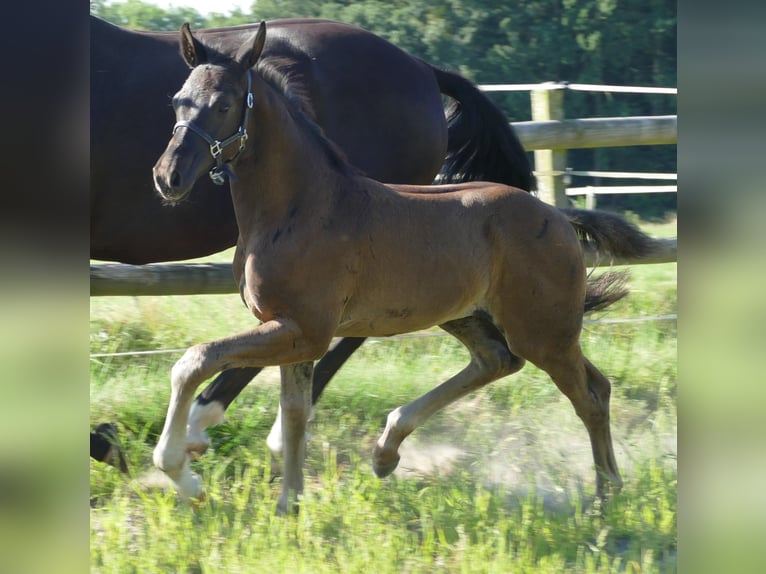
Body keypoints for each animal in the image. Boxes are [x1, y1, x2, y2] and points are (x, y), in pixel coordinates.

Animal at [90, 15, 534, 456]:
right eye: (177, 101)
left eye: (223, 105)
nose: (168, 176)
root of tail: (423, 68)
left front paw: (107, 439)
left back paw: (224, 426)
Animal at [150, 22, 659, 512]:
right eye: (177, 101)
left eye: (223, 104)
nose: (167, 176)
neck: (301, 205)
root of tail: (556, 215)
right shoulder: (292, 330)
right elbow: (293, 414)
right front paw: (288, 506)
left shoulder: (304, 328)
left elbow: (195, 361)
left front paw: (182, 474)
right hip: (478, 318)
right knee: (511, 363)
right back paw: (386, 451)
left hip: (542, 330)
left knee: (587, 395)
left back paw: (605, 496)